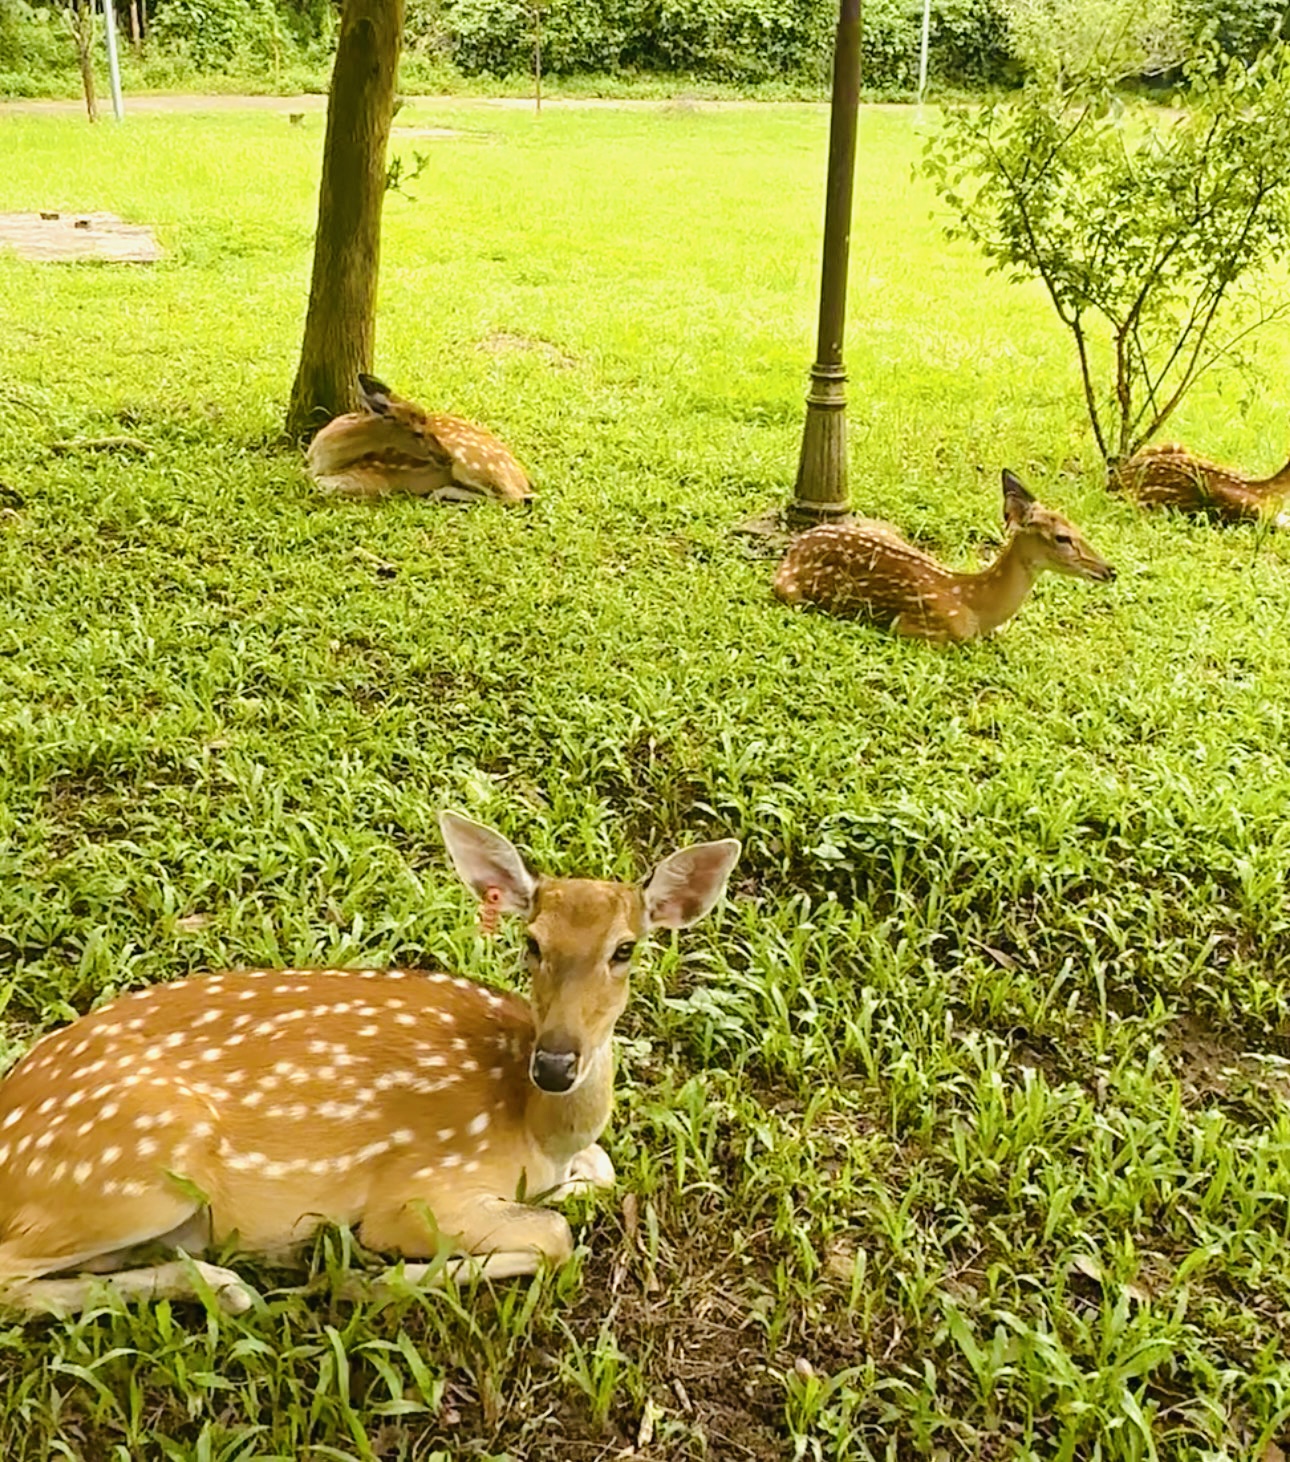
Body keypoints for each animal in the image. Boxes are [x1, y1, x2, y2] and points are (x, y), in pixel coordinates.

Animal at [0, 813, 740, 1318]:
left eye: (626, 949)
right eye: (531, 942)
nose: (556, 1063)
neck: (534, 1126)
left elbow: (599, 1177)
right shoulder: (423, 1188)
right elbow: (554, 1236)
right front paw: (365, 1278)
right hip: (134, 1168)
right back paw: (230, 1284)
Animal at [306, 374, 533, 504]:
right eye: (418, 432)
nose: (445, 456)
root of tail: (523, 478)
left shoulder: (376, 477)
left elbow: (319, 483)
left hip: (470, 465)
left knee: (513, 498)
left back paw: (439, 494)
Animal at [772, 470, 1115, 644]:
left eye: (1078, 527)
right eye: (1062, 537)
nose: (1110, 569)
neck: (976, 603)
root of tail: (796, 544)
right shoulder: (919, 626)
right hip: (789, 590)